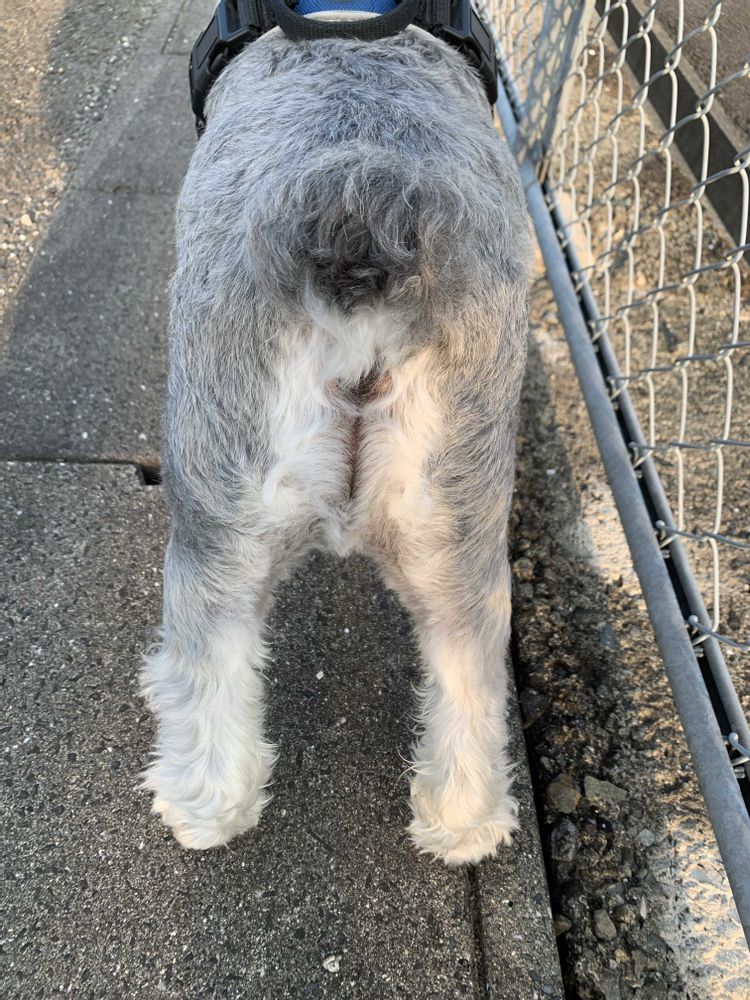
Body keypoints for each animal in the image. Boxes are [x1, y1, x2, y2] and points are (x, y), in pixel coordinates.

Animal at [142, 3, 531, 866]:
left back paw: (200, 807)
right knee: (469, 673)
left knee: (206, 657)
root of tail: (362, 214)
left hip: (213, 501)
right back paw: (460, 823)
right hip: (459, 514)